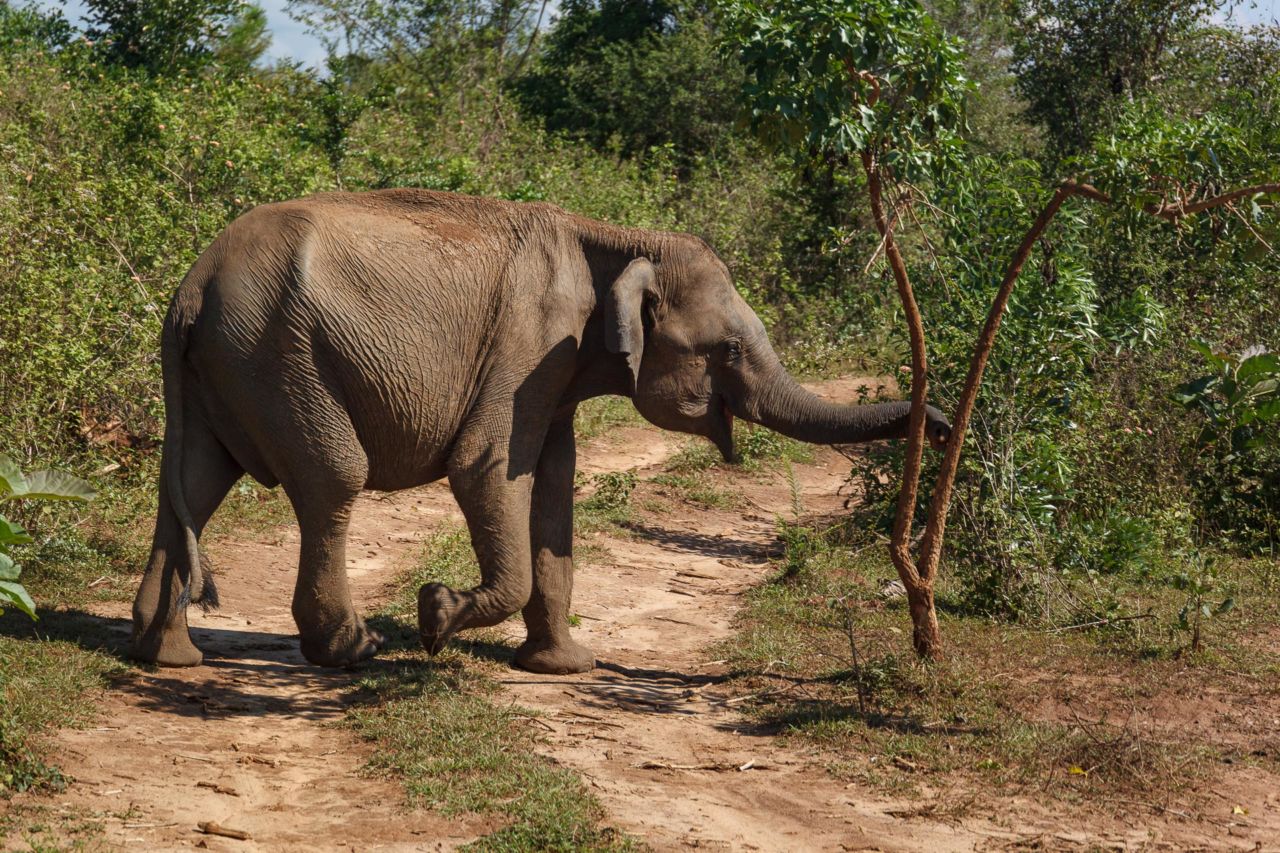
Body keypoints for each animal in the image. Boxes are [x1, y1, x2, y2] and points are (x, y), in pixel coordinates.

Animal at [132, 189, 952, 676]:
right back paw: (353, 650)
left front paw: (564, 667)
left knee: (196, 482)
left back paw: (168, 655)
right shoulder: (529, 345)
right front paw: (435, 618)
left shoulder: (554, 371)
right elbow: (488, 468)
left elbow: (555, 486)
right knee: (333, 477)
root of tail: (191, 290)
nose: (942, 424)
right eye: (725, 351)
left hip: (232, 367)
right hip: (280, 357)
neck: (615, 237)